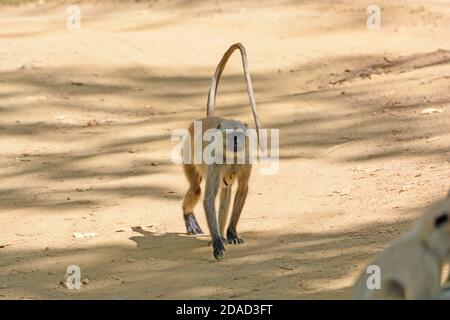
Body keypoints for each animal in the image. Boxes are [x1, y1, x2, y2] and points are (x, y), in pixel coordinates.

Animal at [181, 43, 262, 260]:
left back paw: (223, 233)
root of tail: (207, 118)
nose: (235, 143)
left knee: (226, 191)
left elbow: (242, 188)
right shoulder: (216, 162)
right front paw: (217, 242)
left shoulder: (245, 160)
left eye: (239, 135)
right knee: (197, 188)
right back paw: (190, 218)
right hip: (187, 152)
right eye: (229, 135)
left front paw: (231, 234)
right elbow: (208, 197)